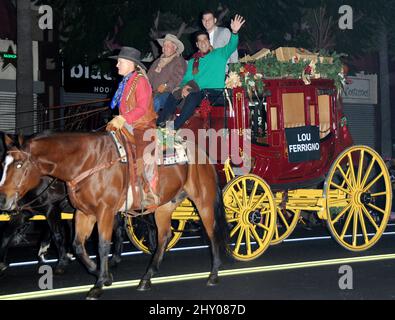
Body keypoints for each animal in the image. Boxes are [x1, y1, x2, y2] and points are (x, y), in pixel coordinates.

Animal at [0, 131, 229, 298]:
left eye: (19, 164)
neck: (86, 162)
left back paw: (214, 274)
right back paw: (146, 278)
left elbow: (102, 245)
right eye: (4, 164)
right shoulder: (83, 213)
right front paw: (103, 274)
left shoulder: (105, 212)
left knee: (212, 233)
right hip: (164, 206)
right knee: (164, 237)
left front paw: (99, 283)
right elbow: (78, 245)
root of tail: (200, 152)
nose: (3, 199)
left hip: (203, 201)